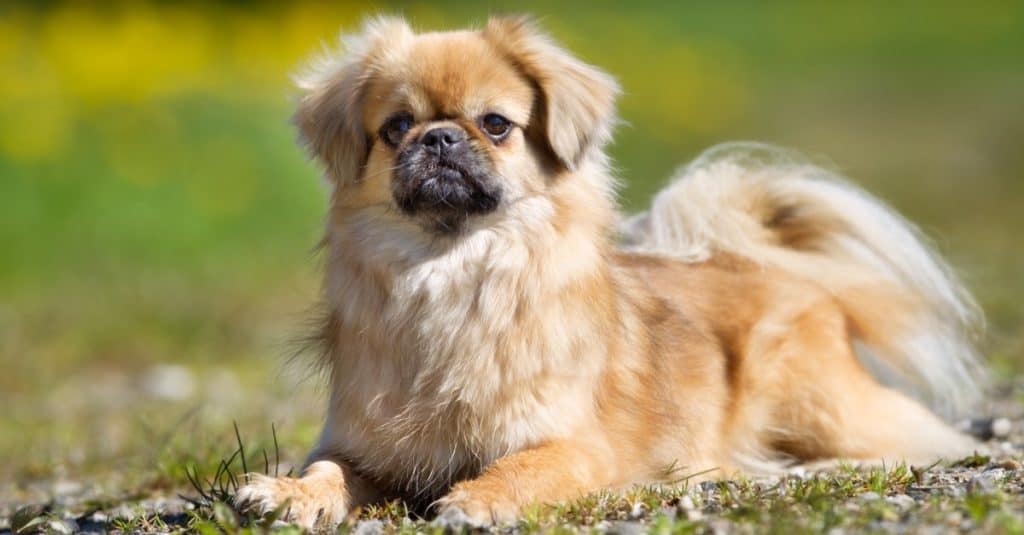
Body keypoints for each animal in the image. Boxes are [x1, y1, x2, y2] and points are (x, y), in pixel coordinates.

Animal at [235, 14, 987, 524]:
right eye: (396, 129)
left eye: (495, 124)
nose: (439, 138)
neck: (452, 272)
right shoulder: (363, 446)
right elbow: (328, 469)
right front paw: (285, 493)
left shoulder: (571, 443)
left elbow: (522, 464)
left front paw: (478, 499)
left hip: (819, 407)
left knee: (911, 441)